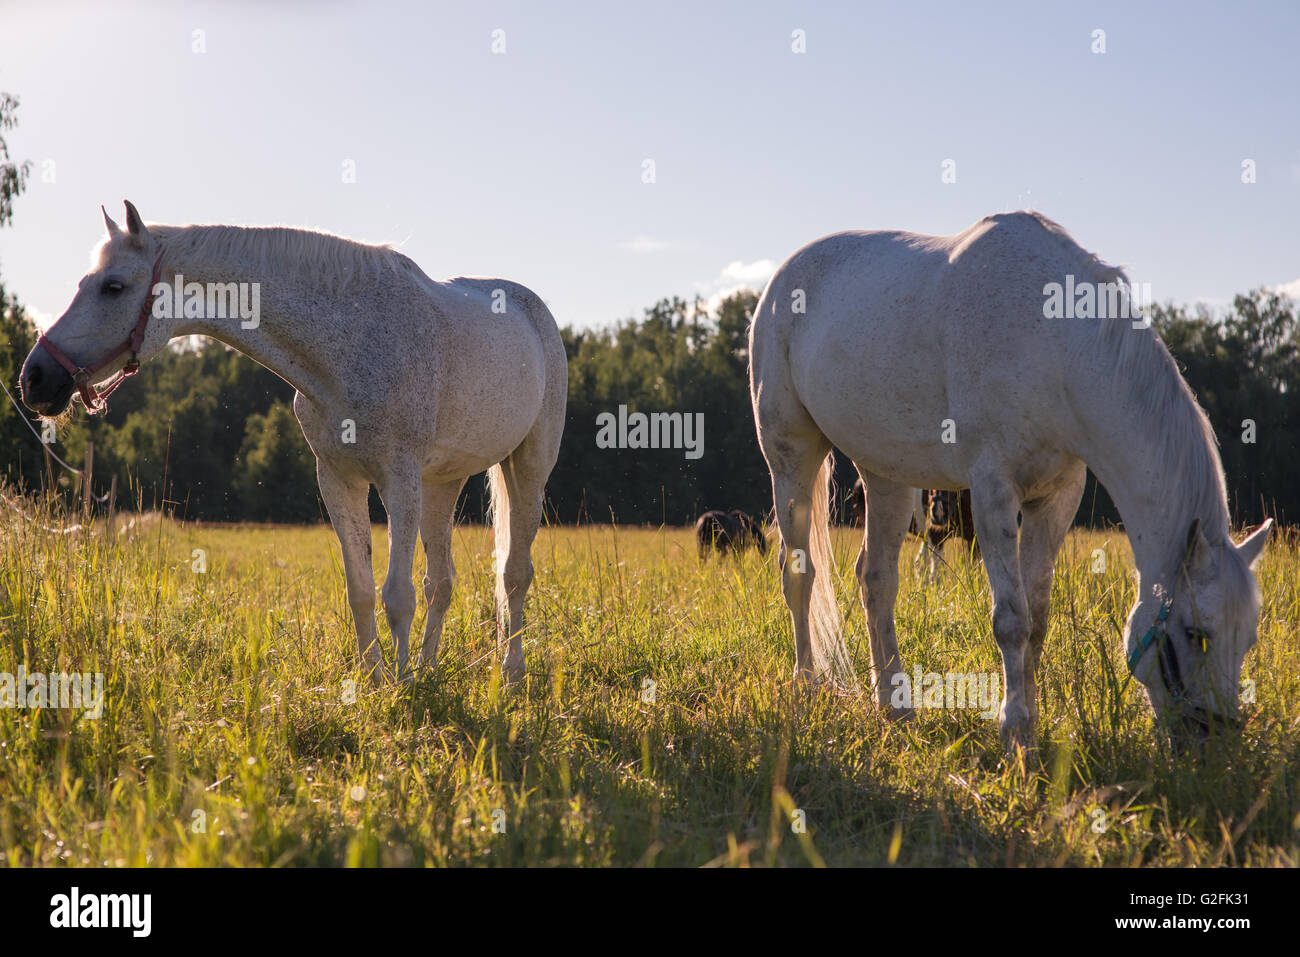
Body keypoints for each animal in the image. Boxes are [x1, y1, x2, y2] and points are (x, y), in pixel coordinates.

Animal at [19, 201, 567, 686]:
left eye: (113, 287)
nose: (34, 377)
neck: (348, 341)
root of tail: (532, 309)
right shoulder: (339, 478)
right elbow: (361, 591)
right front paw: (375, 683)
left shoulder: (400, 478)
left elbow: (397, 594)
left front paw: (401, 688)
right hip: (443, 482)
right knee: (443, 582)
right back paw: (430, 669)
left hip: (526, 468)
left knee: (514, 574)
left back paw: (510, 675)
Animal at [749, 210, 1272, 749]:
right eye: (1196, 634)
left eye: (1248, 636)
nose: (1216, 740)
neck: (1054, 346)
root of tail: (780, 282)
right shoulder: (992, 492)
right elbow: (1011, 620)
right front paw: (1015, 729)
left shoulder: (1056, 498)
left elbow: (1036, 617)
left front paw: (1032, 720)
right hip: (790, 458)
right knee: (799, 575)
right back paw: (807, 687)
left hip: (886, 475)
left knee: (877, 581)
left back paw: (896, 709)